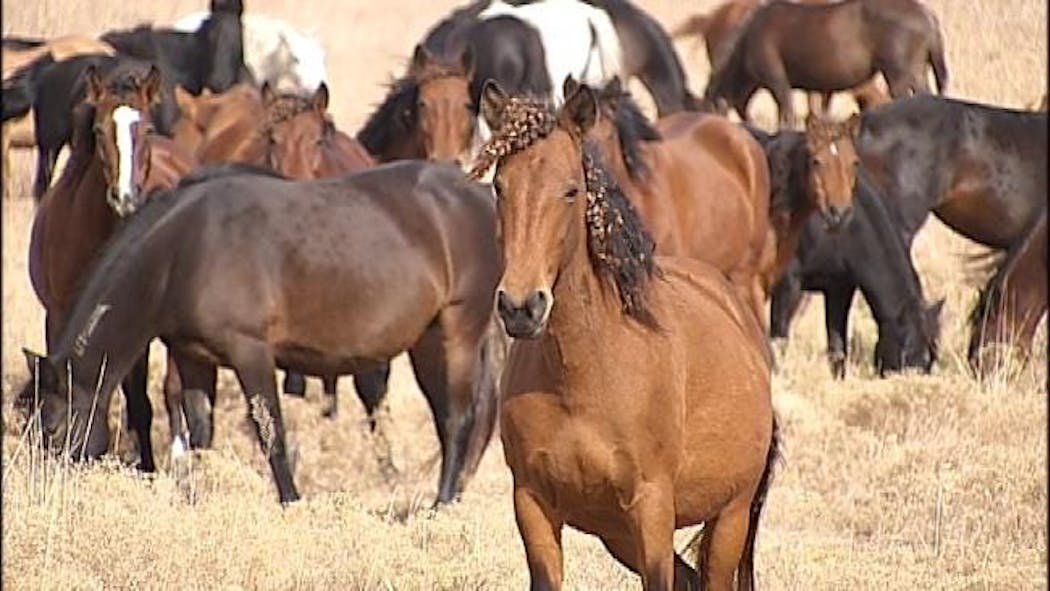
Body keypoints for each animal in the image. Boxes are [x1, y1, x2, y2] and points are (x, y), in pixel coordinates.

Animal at [22, 160, 504, 506]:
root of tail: (482, 194)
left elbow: (271, 430)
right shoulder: (192, 356)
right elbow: (201, 431)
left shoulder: (250, 351)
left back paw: (442, 506)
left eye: (52, 428)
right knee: (448, 417)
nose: (46, 494)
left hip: (459, 330)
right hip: (427, 340)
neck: (182, 248)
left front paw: (291, 501)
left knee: (459, 417)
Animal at [26, 66, 197, 471]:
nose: (125, 197)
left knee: (170, 389)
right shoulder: (58, 318)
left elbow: (146, 398)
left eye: (145, 128)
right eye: (99, 130)